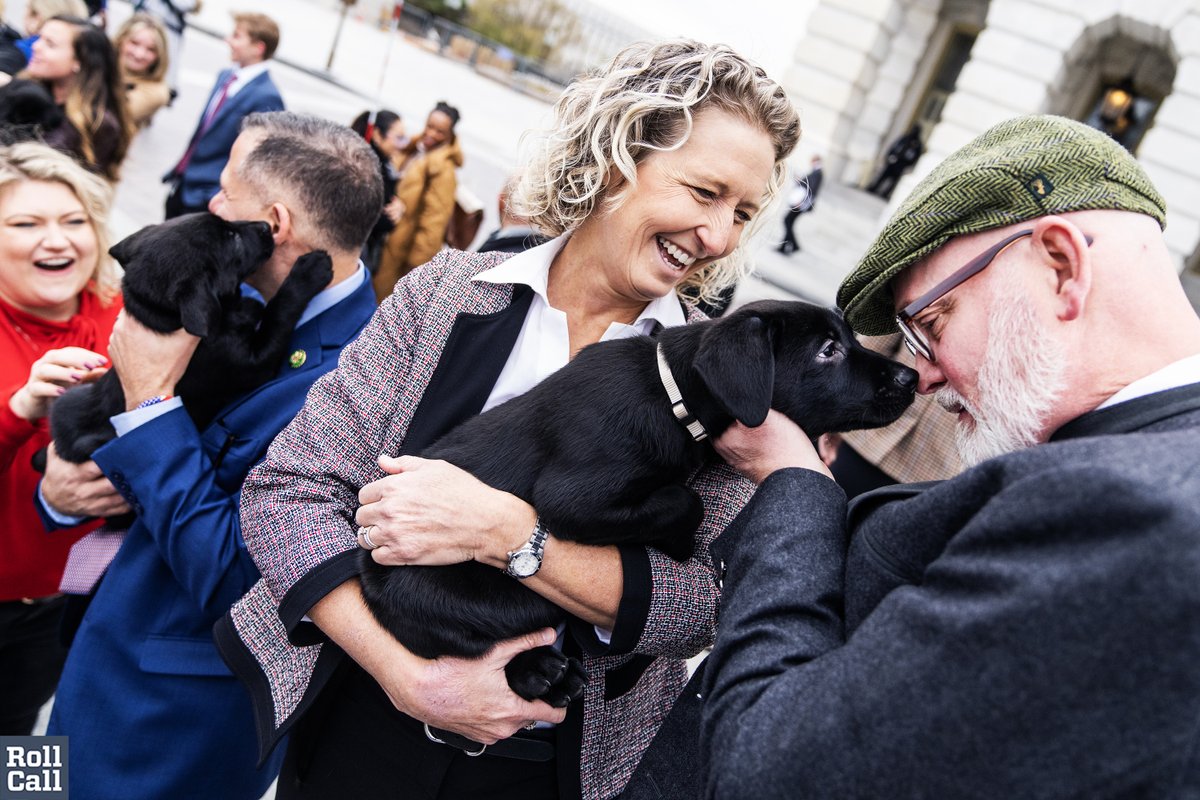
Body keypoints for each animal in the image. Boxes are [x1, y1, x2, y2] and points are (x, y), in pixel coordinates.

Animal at [49, 212, 333, 462]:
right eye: (232, 238)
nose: (265, 225)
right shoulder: (252, 363)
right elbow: (278, 310)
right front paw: (307, 273)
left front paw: (250, 306)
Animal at [357, 303, 916, 710]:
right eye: (828, 351)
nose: (910, 378)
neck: (671, 396)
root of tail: (368, 572)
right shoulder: (571, 500)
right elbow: (683, 499)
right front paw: (677, 542)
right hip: (480, 603)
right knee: (474, 649)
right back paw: (539, 672)